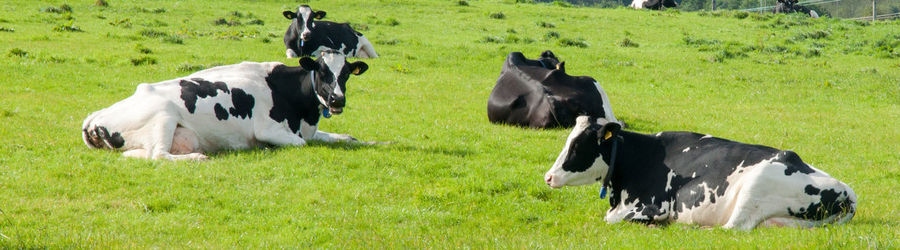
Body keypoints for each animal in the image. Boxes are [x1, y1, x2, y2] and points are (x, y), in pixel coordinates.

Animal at [81, 50, 370, 160]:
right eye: (322, 71)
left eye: (346, 73)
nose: (337, 100)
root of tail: (95, 116)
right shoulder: (270, 130)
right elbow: (301, 143)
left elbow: (348, 137)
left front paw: (372, 142)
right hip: (163, 117)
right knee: (158, 155)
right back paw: (198, 157)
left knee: (136, 154)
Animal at [540, 117, 856, 230]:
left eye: (578, 145)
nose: (548, 177)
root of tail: (848, 193)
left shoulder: (654, 207)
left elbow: (613, 220)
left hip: (755, 187)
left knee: (732, 228)